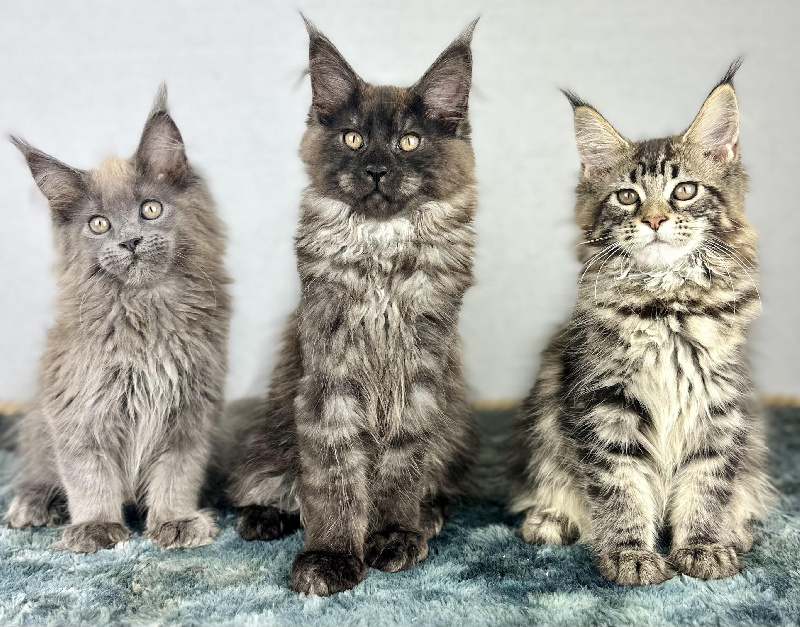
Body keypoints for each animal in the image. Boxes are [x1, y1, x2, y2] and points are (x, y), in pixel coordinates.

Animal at [5, 87, 231, 556]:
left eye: (151, 209)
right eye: (98, 224)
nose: (130, 241)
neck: (144, 310)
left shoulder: (192, 407)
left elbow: (178, 471)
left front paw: (176, 519)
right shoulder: (77, 405)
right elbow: (87, 474)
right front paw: (95, 525)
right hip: (36, 424)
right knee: (38, 468)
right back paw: (34, 502)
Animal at [225, 19, 478, 596]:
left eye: (409, 140)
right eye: (353, 138)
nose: (378, 169)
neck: (382, 255)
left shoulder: (421, 377)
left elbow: (401, 466)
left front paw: (394, 535)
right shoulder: (329, 374)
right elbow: (334, 475)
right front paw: (332, 556)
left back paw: (428, 515)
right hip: (268, 438)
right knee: (260, 484)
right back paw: (264, 517)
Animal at [512, 61, 776, 588]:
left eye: (684, 190)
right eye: (627, 197)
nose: (654, 220)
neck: (667, 305)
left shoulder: (719, 408)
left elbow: (706, 486)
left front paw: (703, 547)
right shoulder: (604, 406)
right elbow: (621, 490)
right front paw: (630, 555)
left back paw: (736, 532)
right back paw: (549, 520)